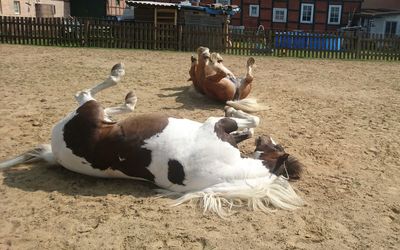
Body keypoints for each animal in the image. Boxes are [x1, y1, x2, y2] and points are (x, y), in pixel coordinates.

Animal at [0, 62, 304, 215]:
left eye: (276, 145)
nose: (269, 139)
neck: (237, 171)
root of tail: (55, 151)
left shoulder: (214, 124)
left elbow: (250, 121)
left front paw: (234, 109)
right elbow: (250, 124)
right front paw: (236, 110)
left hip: (88, 110)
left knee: (85, 94)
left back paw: (120, 79)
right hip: (98, 114)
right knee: (106, 107)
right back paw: (126, 93)